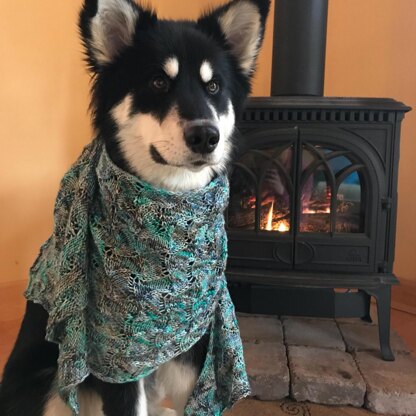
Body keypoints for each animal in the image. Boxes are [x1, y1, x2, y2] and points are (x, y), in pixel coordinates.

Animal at [0, 1, 270, 414]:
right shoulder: (116, 363)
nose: (206, 136)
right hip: (50, 387)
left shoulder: (195, 345)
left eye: (213, 86)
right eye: (158, 82)